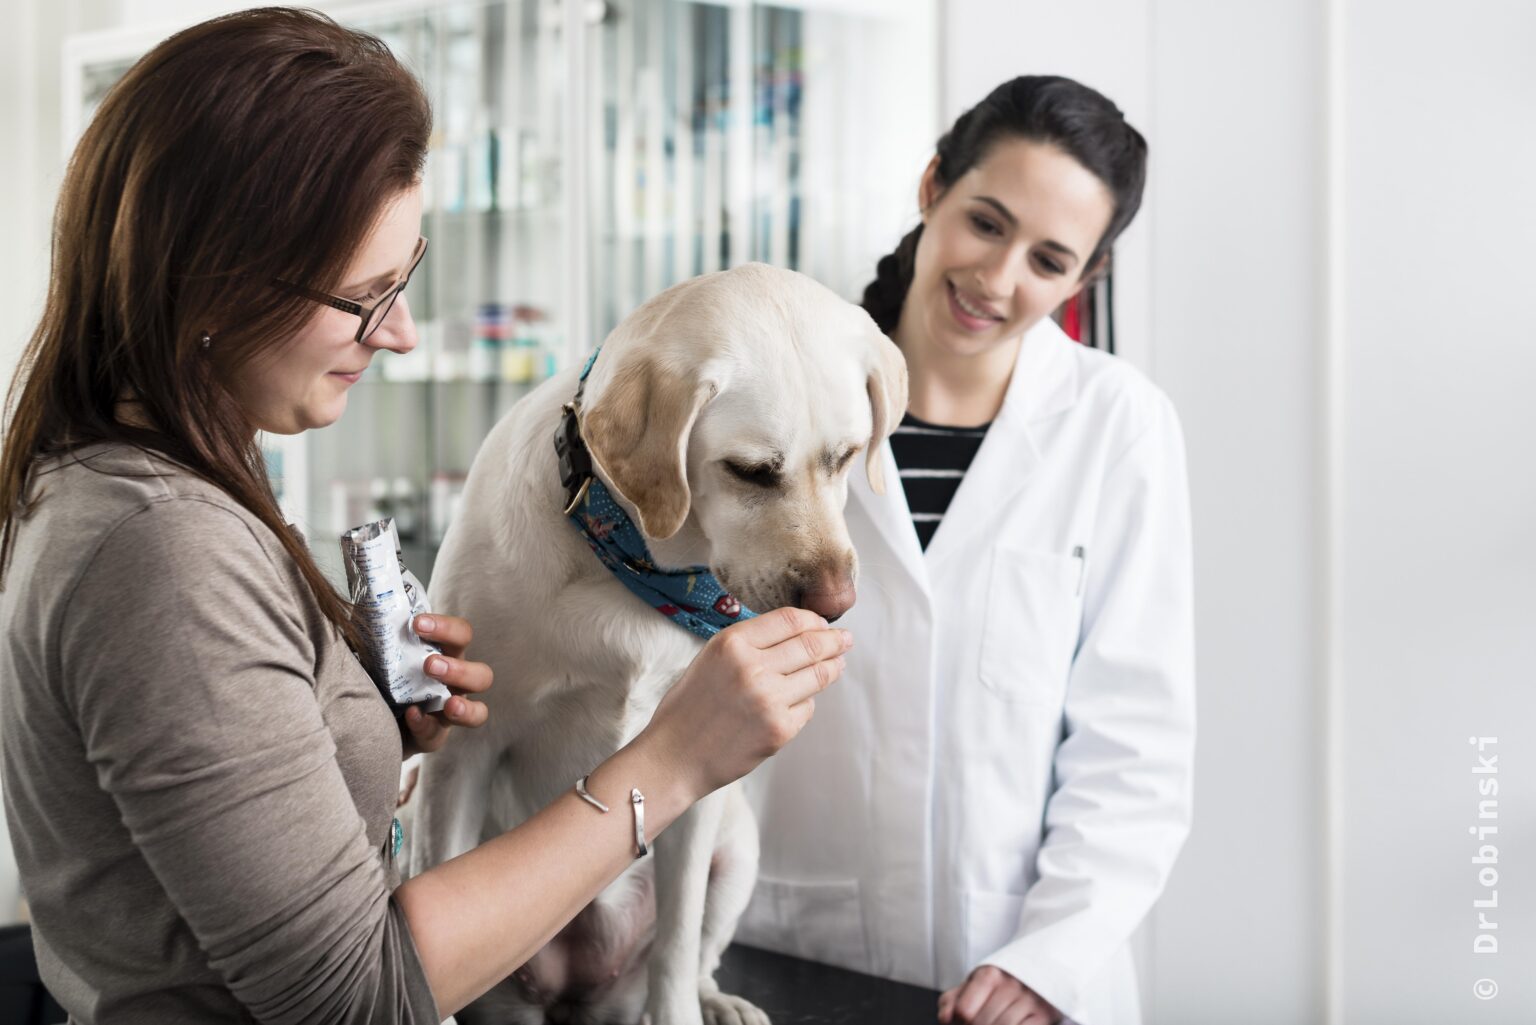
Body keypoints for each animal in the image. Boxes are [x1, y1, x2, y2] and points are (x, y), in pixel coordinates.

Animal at [408, 267, 903, 1025]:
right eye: (750, 471)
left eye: (847, 456)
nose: (834, 603)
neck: (638, 563)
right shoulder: (462, 755)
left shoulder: (697, 793)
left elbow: (676, 943)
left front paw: (685, 1006)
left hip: (739, 848)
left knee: (695, 952)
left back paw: (717, 1000)